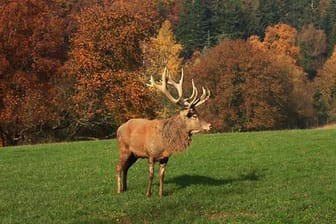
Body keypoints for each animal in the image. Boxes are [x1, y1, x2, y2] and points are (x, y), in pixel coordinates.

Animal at [115, 67, 210, 197]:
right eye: (194, 116)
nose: (209, 125)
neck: (165, 142)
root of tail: (119, 128)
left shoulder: (165, 158)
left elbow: (162, 176)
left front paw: (161, 194)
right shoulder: (150, 154)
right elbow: (151, 175)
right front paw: (148, 194)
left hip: (134, 154)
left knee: (126, 167)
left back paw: (125, 188)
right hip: (124, 149)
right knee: (119, 166)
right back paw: (119, 190)